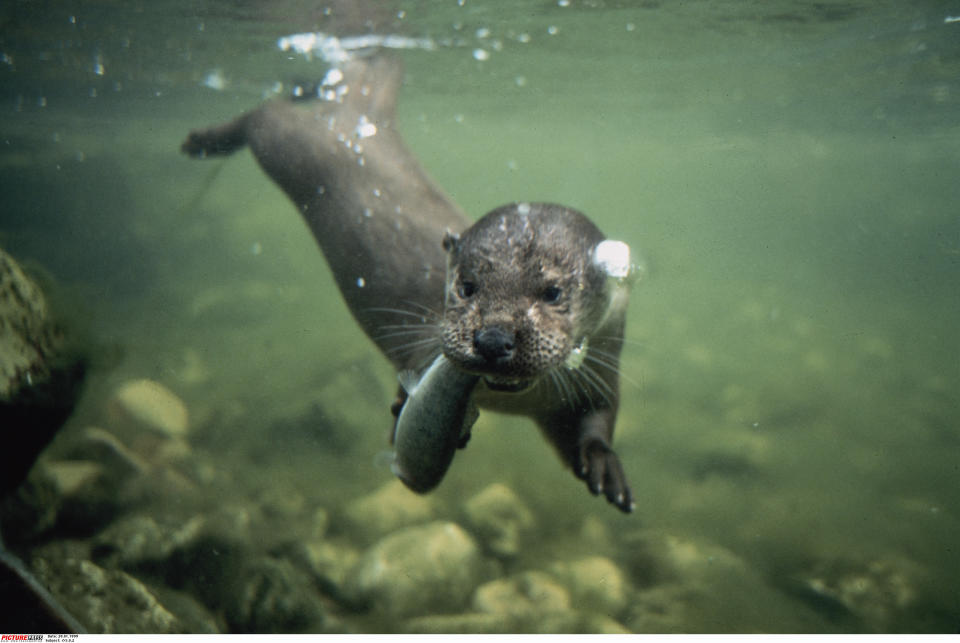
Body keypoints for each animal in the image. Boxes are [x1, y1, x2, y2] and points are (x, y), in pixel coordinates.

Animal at [184, 52, 640, 512]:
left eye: (553, 292)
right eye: (466, 286)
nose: (492, 339)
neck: (518, 399)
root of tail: (366, 118)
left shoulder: (600, 375)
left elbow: (597, 420)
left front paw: (605, 467)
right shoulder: (426, 342)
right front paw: (414, 412)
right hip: (294, 148)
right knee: (266, 115)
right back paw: (204, 139)